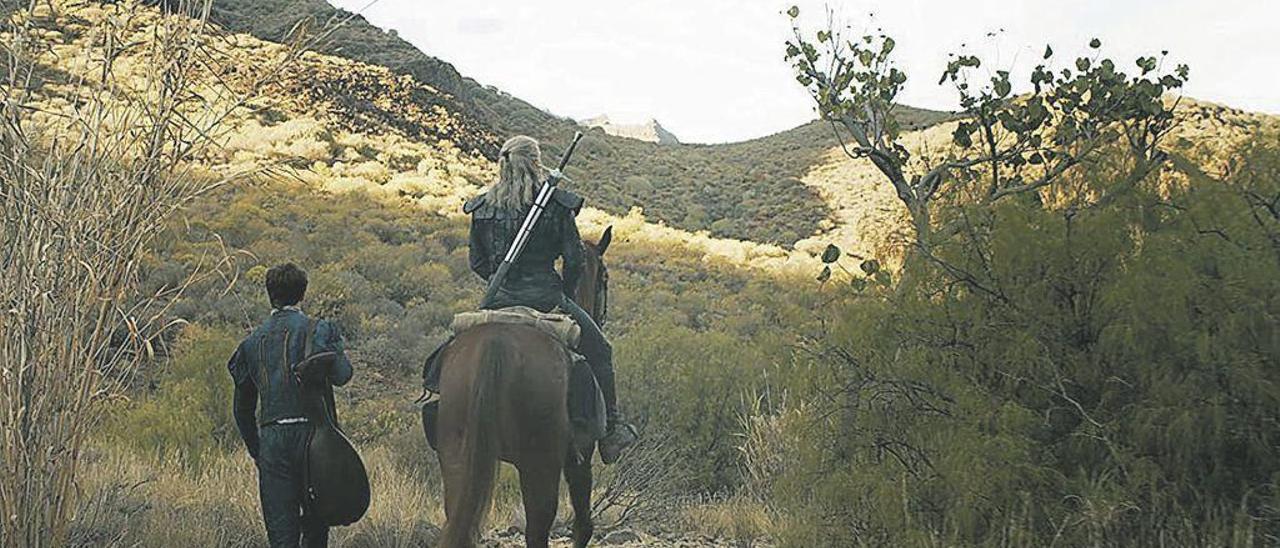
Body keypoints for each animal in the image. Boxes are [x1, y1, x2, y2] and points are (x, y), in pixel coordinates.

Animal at [427, 225, 611, 545]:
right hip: (540, 465)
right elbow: (583, 526)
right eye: (605, 278)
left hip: (456, 456)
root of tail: (495, 343)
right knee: (538, 528)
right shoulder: (580, 457)